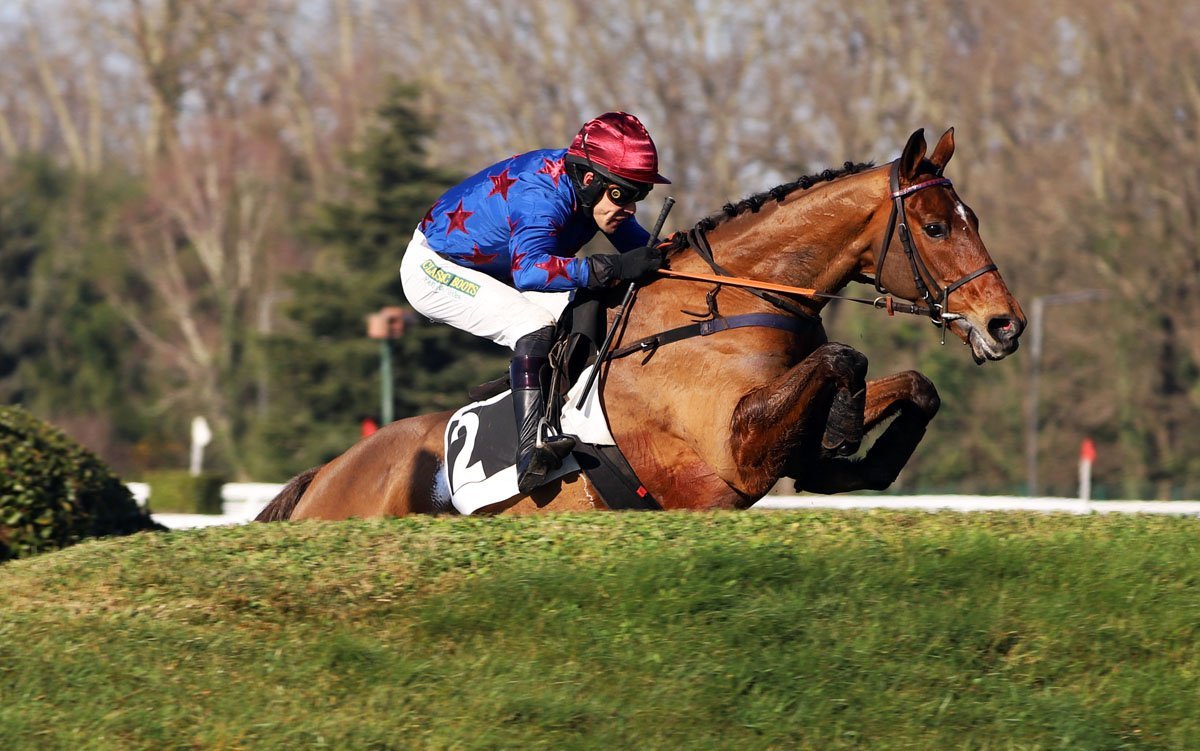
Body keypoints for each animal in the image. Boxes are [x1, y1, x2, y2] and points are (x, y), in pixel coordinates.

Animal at [257, 127, 1024, 521]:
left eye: (974, 218)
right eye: (934, 226)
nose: (1005, 324)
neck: (727, 305)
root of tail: (325, 475)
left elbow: (913, 383)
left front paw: (859, 457)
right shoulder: (727, 457)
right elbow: (844, 359)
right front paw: (843, 438)